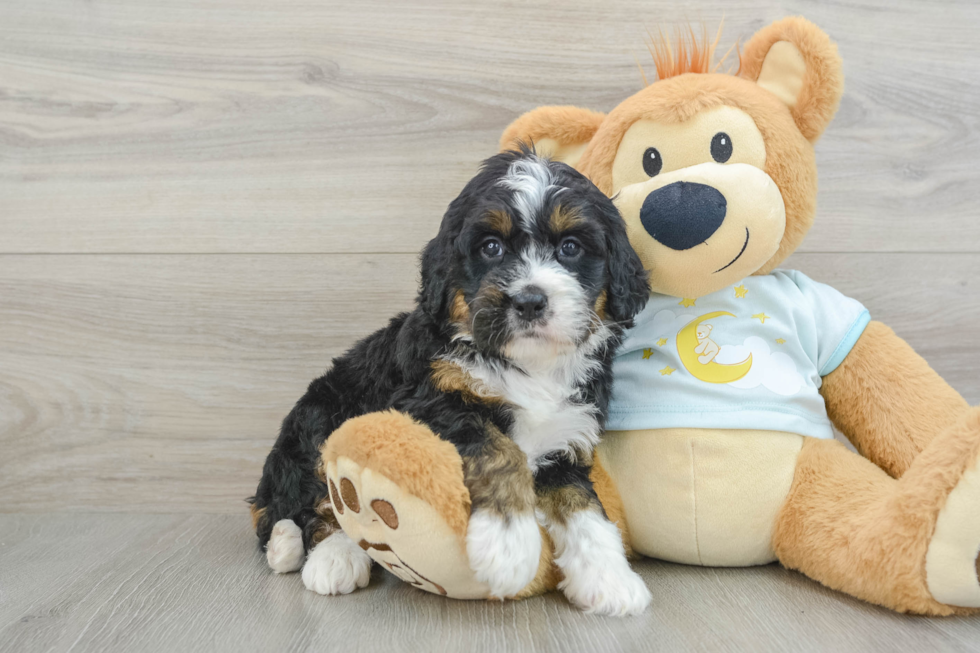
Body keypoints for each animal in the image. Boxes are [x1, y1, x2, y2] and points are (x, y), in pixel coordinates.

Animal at [251, 148, 652, 616]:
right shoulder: (430, 401)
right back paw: (328, 556)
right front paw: (507, 544)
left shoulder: (567, 436)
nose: (529, 301)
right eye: (491, 247)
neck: (528, 365)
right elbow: (500, 448)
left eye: (570, 247)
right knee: (311, 502)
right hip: (323, 414)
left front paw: (609, 577)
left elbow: (583, 504)